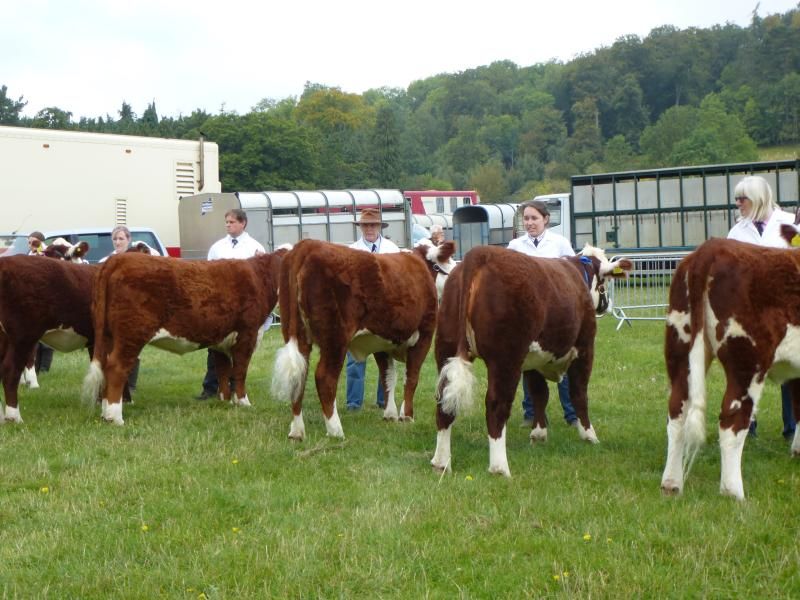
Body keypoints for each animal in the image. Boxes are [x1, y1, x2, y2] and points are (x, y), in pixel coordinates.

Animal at [81, 250, 286, 426]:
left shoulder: (221, 341)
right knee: (116, 368)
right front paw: (243, 403)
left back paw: (105, 413)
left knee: (105, 367)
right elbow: (240, 372)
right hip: (132, 334)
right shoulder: (247, 335)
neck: (261, 279)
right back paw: (115, 417)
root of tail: (118, 259)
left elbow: (223, 371)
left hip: (107, 336)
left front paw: (224, 401)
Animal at [270, 239, 454, 440]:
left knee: (299, 376)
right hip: (335, 338)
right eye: (448, 265)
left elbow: (388, 377)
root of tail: (307, 245)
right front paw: (406, 416)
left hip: (297, 335)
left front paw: (390, 414)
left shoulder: (383, 342)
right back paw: (335, 430)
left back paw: (297, 431)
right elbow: (411, 377)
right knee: (325, 377)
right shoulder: (424, 336)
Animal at [432, 246, 632, 476]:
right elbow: (579, 393)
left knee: (444, 401)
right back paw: (500, 467)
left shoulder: (533, 359)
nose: (606, 305)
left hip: (445, 346)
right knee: (496, 405)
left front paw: (538, 434)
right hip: (505, 359)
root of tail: (481, 253)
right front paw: (589, 435)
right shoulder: (585, 348)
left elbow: (539, 394)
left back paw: (441, 462)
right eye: (605, 281)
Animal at [660, 232, 800, 500]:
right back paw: (733, 492)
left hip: (680, 347)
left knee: (677, 412)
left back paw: (671, 483)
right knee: (732, 420)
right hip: (747, 363)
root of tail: (712, 247)